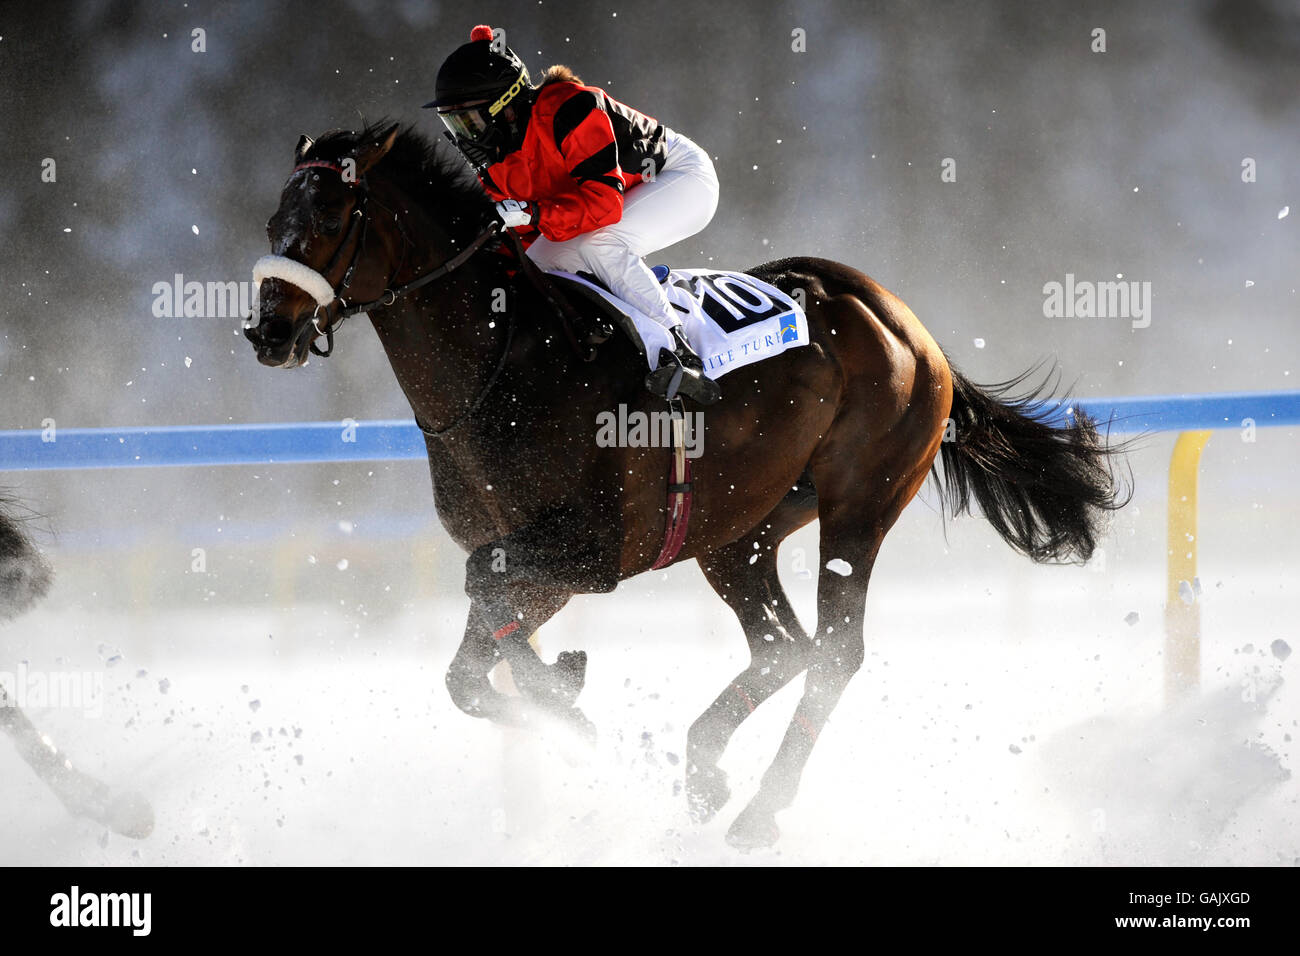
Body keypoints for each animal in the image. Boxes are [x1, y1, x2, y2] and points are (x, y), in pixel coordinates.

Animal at [245, 123, 1128, 848]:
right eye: (271, 220)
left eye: (329, 216)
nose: (268, 331)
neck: (505, 365)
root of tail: (904, 320)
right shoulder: (534, 557)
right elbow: (470, 664)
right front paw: (564, 697)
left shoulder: (590, 549)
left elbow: (484, 605)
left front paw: (567, 698)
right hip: (741, 528)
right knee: (783, 644)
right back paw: (704, 771)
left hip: (862, 499)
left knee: (835, 649)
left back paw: (761, 812)